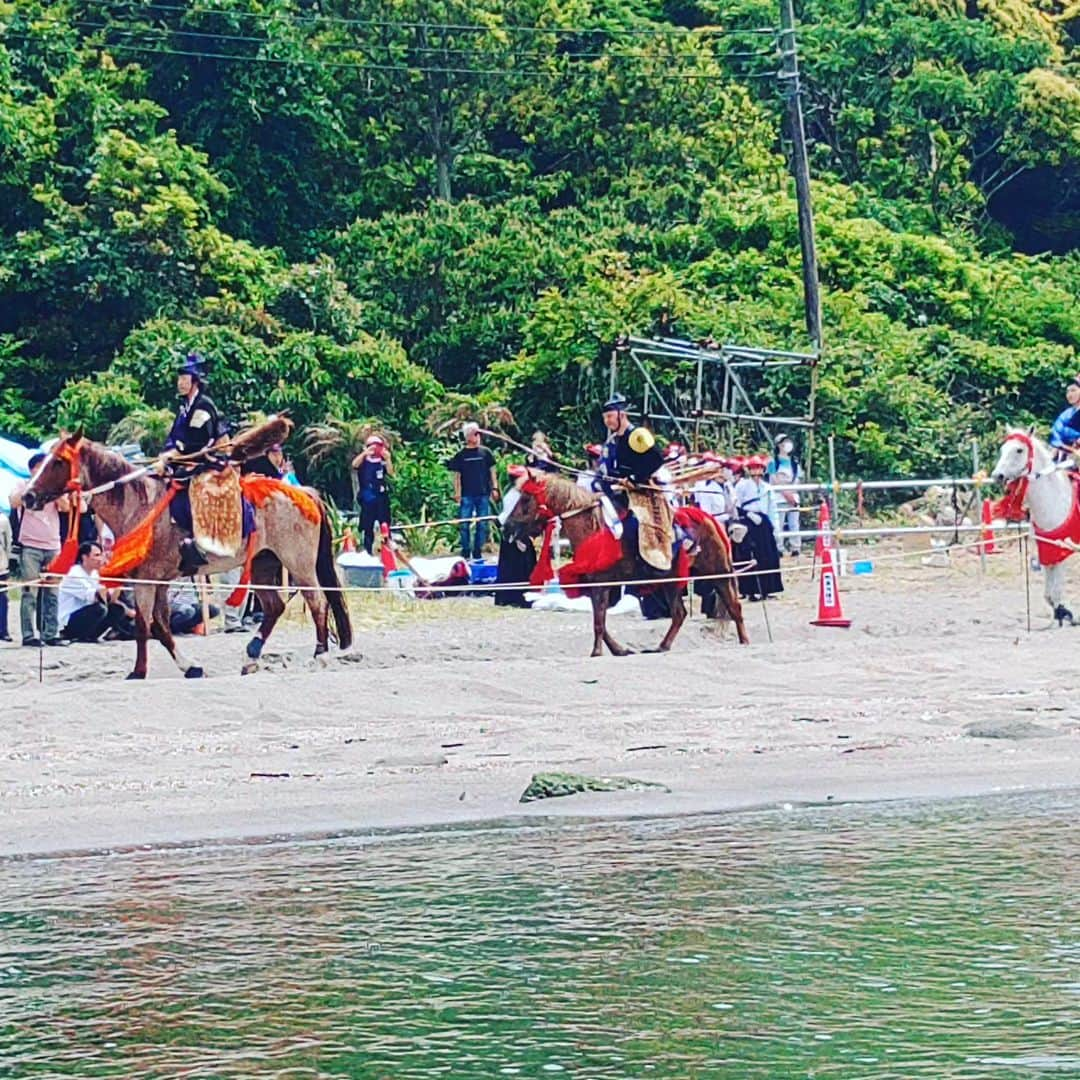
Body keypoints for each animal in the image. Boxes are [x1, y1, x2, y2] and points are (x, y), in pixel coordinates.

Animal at [21, 432, 352, 678]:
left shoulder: (146, 579)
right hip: (263, 562)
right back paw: (251, 657)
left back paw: (320, 655)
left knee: (318, 603)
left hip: (298, 563)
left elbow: (145, 625)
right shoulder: (158, 581)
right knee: (274, 607)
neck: (137, 503)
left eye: (58, 462)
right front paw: (189, 666)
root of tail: (304, 493)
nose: (27, 496)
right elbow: (160, 625)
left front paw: (139, 671)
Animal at [501, 468, 747, 652]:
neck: (592, 529)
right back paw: (662, 646)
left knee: (733, 607)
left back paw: (745, 642)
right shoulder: (597, 584)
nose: (507, 526)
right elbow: (600, 621)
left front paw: (597, 652)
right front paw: (619, 650)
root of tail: (708, 518)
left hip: (718, 571)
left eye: (525, 499)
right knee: (679, 614)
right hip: (672, 580)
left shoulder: (600, 584)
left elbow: (598, 622)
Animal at [989, 423, 1080, 626]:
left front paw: (1067, 615)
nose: (997, 475)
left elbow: (1056, 591)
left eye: (1019, 450)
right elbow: (1049, 595)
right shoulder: (1047, 550)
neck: (1054, 501)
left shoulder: (1063, 551)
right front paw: (1062, 613)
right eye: (1002, 449)